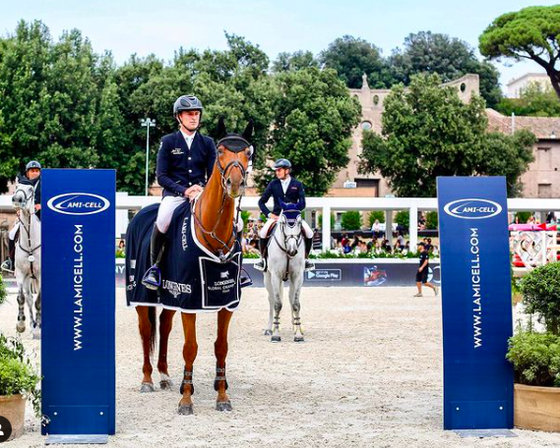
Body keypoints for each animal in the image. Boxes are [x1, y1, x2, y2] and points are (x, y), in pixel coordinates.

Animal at [135, 118, 253, 412]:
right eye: (221, 151)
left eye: (247, 153)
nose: (235, 183)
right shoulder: (189, 300)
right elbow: (191, 347)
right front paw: (186, 399)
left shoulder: (226, 301)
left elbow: (221, 346)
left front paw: (222, 396)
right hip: (142, 296)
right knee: (146, 330)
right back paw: (148, 380)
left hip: (170, 296)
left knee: (164, 326)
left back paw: (164, 376)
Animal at [264, 206, 304, 344]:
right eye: (283, 222)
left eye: (300, 223)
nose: (292, 251)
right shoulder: (275, 276)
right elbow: (277, 304)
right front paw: (276, 334)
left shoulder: (297, 276)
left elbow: (296, 304)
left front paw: (298, 334)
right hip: (268, 278)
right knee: (271, 299)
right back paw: (269, 328)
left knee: (291, 298)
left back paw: (296, 327)